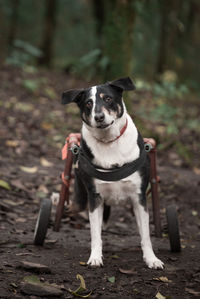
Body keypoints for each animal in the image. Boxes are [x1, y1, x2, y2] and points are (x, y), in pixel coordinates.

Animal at [62, 77, 164, 270]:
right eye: (88, 103)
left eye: (108, 99)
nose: (99, 117)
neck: (109, 141)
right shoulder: (94, 197)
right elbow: (95, 234)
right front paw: (95, 257)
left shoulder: (139, 198)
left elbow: (146, 235)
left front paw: (152, 259)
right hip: (80, 199)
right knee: (71, 207)